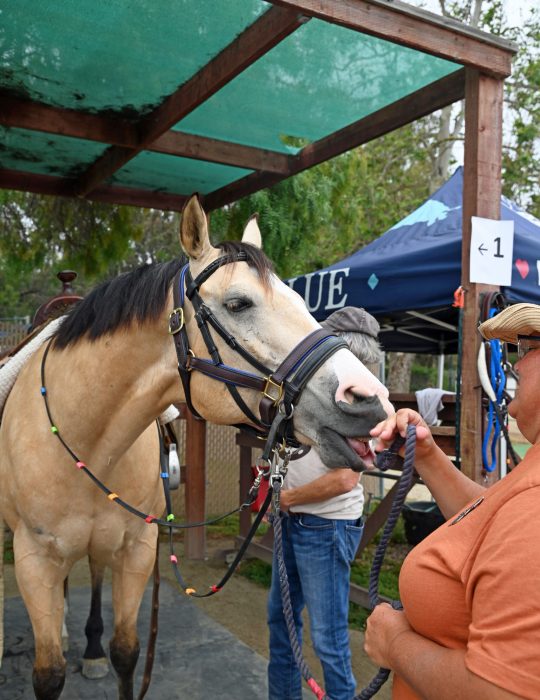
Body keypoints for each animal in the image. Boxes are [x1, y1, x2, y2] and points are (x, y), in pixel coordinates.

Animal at [0, 194, 393, 700]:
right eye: (238, 303)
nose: (369, 400)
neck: (86, 432)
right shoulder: (33, 560)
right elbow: (48, 675)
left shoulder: (137, 548)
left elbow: (126, 652)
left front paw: (101, 652)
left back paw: (87, 648)